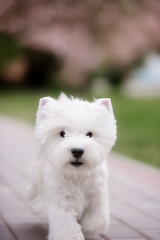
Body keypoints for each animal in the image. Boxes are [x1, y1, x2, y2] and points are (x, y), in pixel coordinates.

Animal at [29, 94, 116, 240]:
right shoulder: (60, 199)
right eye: (62, 133)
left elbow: (97, 219)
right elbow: (66, 223)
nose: (77, 151)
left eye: (89, 134)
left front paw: (89, 229)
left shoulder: (97, 196)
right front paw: (71, 236)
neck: (77, 175)